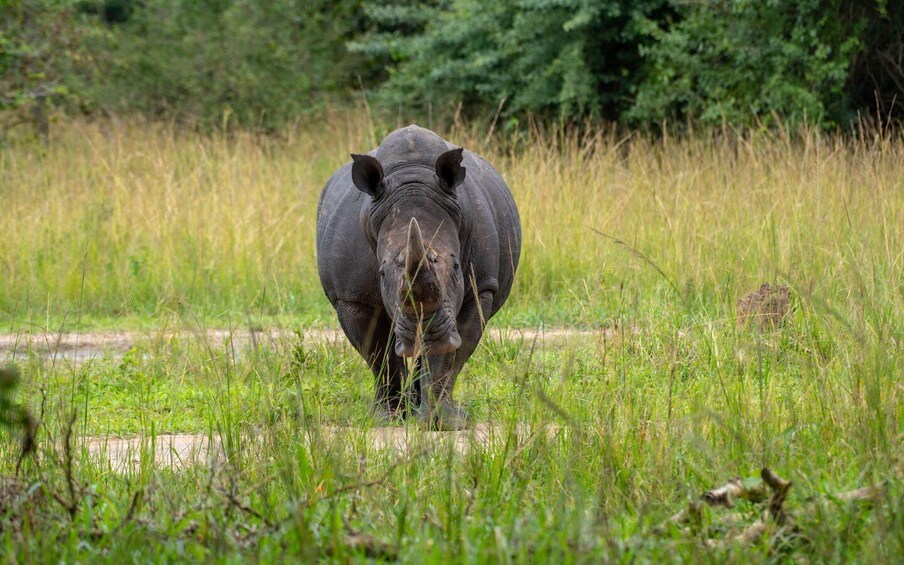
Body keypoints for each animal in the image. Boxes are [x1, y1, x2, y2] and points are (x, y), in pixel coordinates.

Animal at [316, 125, 521, 429]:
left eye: (457, 267)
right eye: (381, 273)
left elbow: (451, 356)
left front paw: (442, 421)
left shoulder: (480, 287)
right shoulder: (352, 296)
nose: (424, 330)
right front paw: (387, 417)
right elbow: (379, 356)